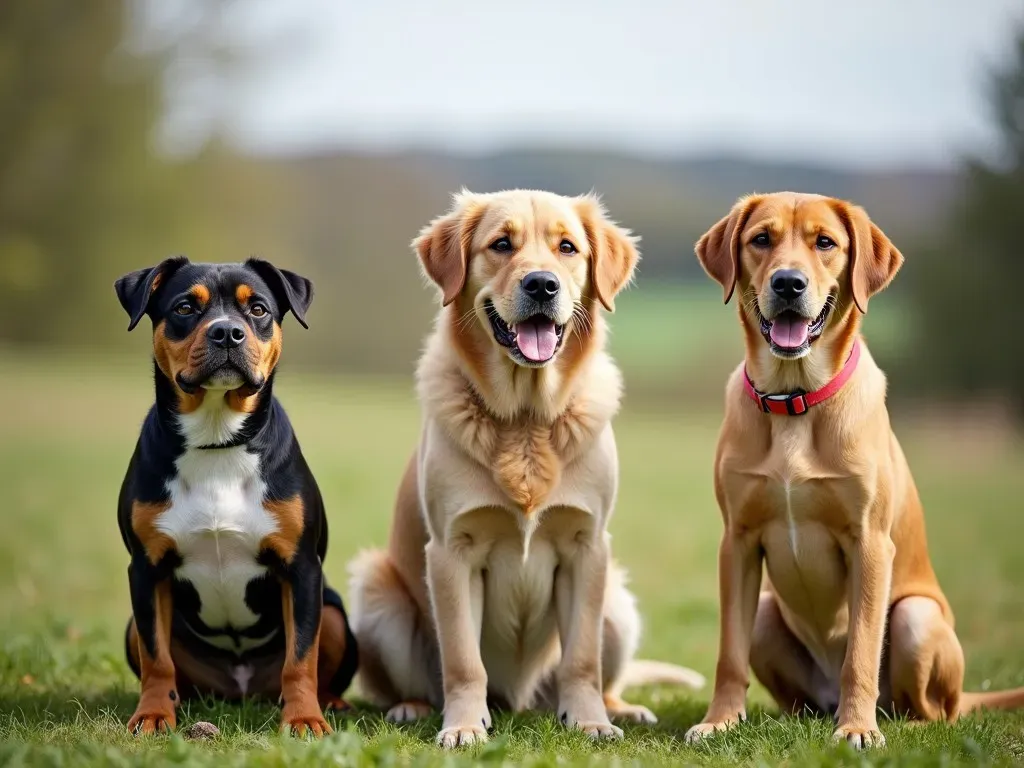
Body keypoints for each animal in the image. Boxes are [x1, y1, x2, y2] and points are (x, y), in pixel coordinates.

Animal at [113, 259, 356, 741]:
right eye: (185, 307)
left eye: (257, 308)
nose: (227, 332)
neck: (216, 441)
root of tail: (242, 689)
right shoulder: (146, 569)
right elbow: (156, 658)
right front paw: (153, 715)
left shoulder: (301, 568)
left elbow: (302, 657)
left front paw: (304, 719)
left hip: (334, 612)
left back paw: (330, 703)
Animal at [350, 192, 704, 753]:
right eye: (501, 244)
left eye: (567, 247)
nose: (542, 284)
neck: (525, 417)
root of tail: (518, 701)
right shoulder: (452, 551)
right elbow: (463, 661)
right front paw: (464, 726)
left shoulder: (587, 547)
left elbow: (581, 660)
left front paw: (590, 722)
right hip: (377, 593)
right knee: (412, 682)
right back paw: (414, 707)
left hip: (617, 604)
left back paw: (620, 709)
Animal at [684, 193, 1024, 753]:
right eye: (761, 239)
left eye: (825, 242)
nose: (789, 283)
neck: (794, 399)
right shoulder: (738, 541)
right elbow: (728, 655)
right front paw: (720, 721)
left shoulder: (870, 543)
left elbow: (861, 651)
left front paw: (858, 729)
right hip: (766, 614)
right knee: (798, 697)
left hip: (915, 617)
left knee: (936, 711)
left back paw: (892, 722)